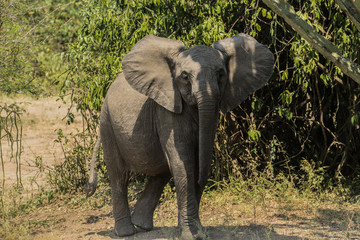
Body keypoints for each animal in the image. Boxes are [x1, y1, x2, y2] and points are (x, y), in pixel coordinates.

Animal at [86, 34, 272, 240]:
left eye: (221, 74)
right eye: (184, 76)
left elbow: (196, 158)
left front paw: (198, 232)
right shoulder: (167, 110)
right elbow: (184, 162)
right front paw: (191, 235)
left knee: (161, 172)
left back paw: (142, 226)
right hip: (107, 122)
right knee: (119, 174)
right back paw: (126, 232)